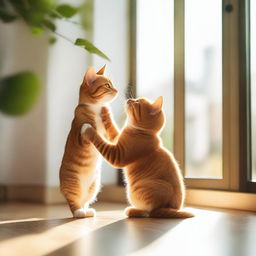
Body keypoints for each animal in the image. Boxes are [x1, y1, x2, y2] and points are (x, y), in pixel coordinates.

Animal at [60, 65, 119, 217]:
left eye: (113, 84)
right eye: (107, 85)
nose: (117, 90)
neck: (95, 109)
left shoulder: (110, 139)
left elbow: (113, 132)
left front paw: (106, 112)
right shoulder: (79, 139)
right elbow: (86, 131)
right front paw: (88, 127)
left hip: (94, 186)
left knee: (85, 201)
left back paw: (87, 211)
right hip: (73, 184)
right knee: (74, 203)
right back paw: (79, 212)